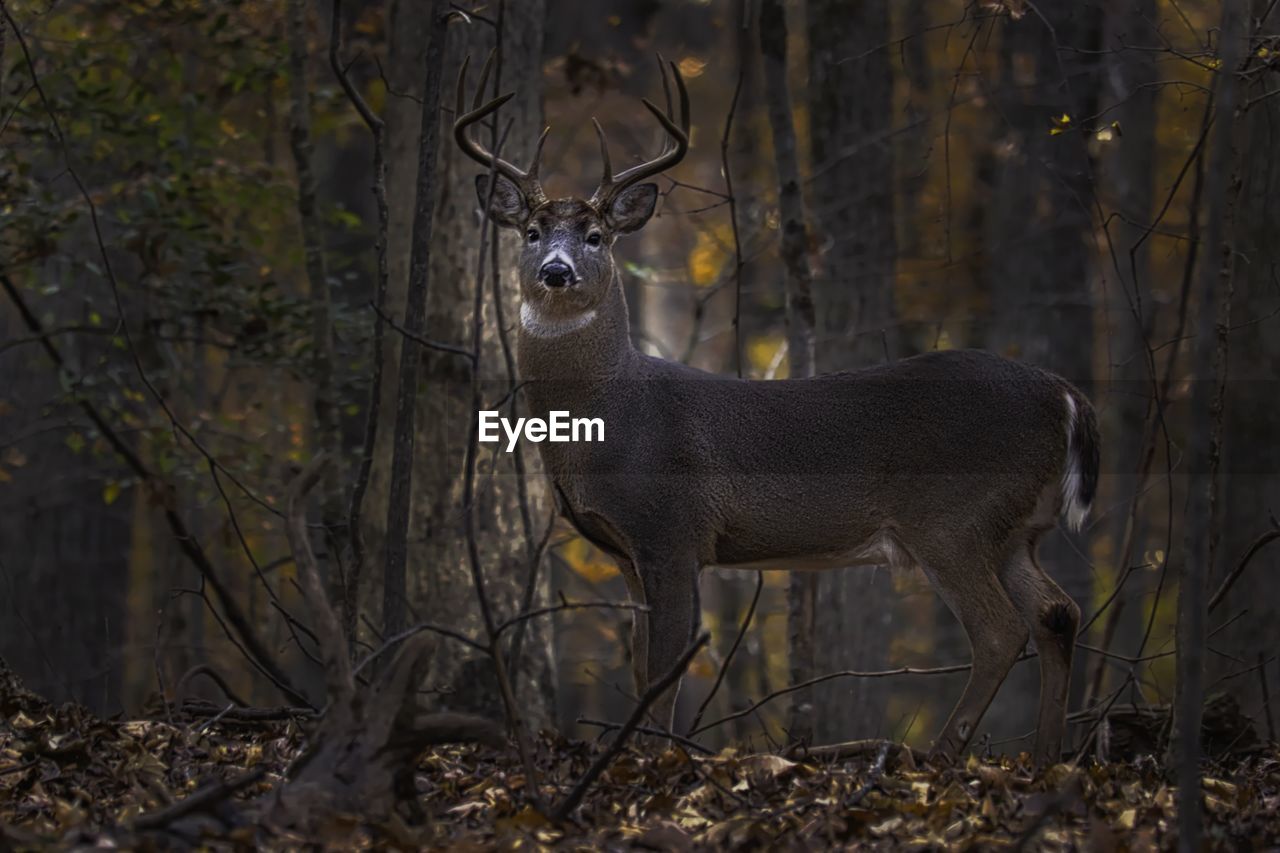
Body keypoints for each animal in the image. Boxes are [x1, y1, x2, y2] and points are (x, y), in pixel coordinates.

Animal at [453, 56, 1100, 768]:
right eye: (531, 231)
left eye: (596, 235)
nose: (556, 271)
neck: (610, 421)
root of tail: (1066, 395)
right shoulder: (624, 549)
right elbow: (641, 662)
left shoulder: (673, 530)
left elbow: (663, 669)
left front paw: (659, 761)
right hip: (1012, 529)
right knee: (1057, 613)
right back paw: (1046, 758)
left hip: (953, 518)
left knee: (1000, 629)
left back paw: (942, 754)